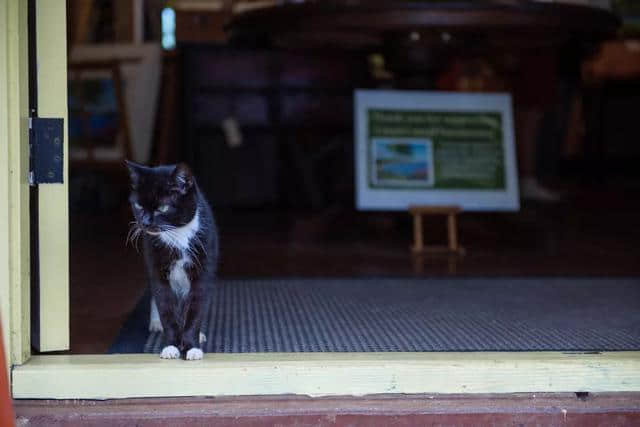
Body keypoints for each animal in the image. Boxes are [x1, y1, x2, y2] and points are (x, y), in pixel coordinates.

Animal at [125, 161, 220, 362]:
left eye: (162, 208)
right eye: (138, 205)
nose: (145, 222)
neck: (177, 235)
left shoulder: (203, 267)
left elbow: (196, 307)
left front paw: (192, 347)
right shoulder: (156, 264)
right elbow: (165, 305)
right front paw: (171, 346)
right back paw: (156, 323)